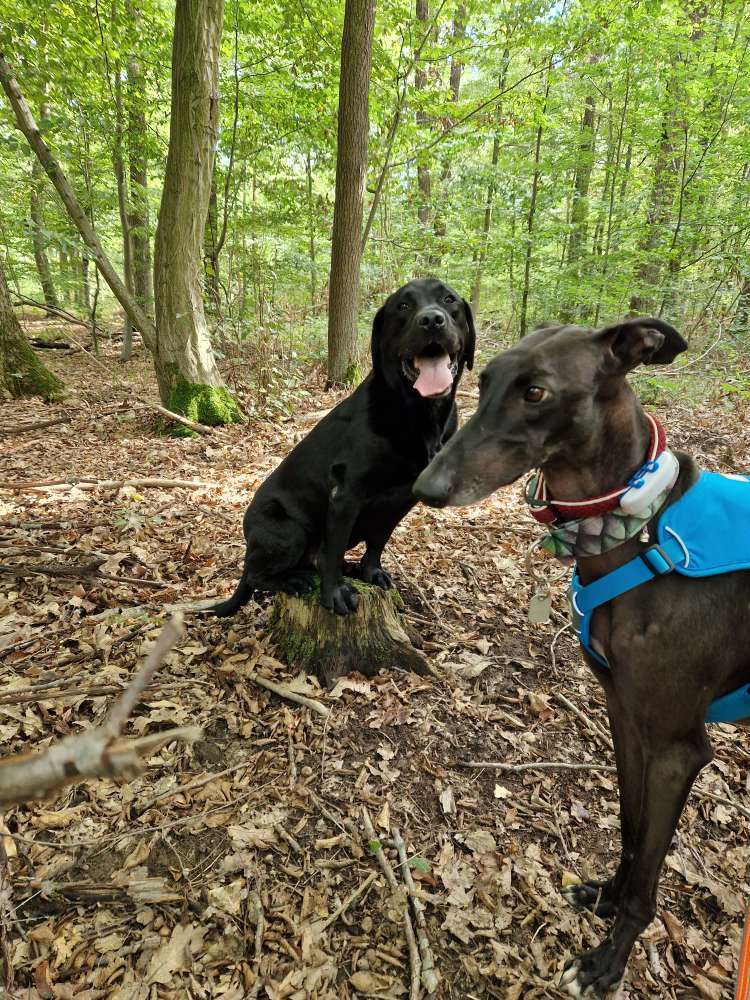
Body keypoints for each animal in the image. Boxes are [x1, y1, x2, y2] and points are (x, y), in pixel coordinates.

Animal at [209, 276, 476, 616]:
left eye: (449, 299)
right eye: (403, 305)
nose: (431, 319)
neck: (417, 414)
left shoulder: (402, 498)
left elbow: (378, 541)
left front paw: (370, 571)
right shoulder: (345, 495)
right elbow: (332, 552)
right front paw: (334, 593)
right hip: (289, 531)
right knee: (261, 575)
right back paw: (294, 580)